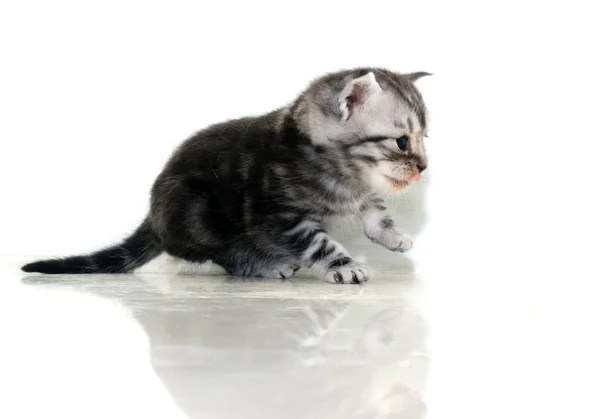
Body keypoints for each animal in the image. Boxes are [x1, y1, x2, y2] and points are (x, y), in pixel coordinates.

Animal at [22, 68, 432, 286]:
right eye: (401, 141)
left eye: (424, 139)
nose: (424, 167)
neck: (343, 172)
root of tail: (154, 218)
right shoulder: (280, 215)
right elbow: (319, 243)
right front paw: (344, 266)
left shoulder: (360, 190)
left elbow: (374, 208)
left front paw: (392, 235)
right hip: (198, 216)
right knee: (223, 253)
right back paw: (265, 264)